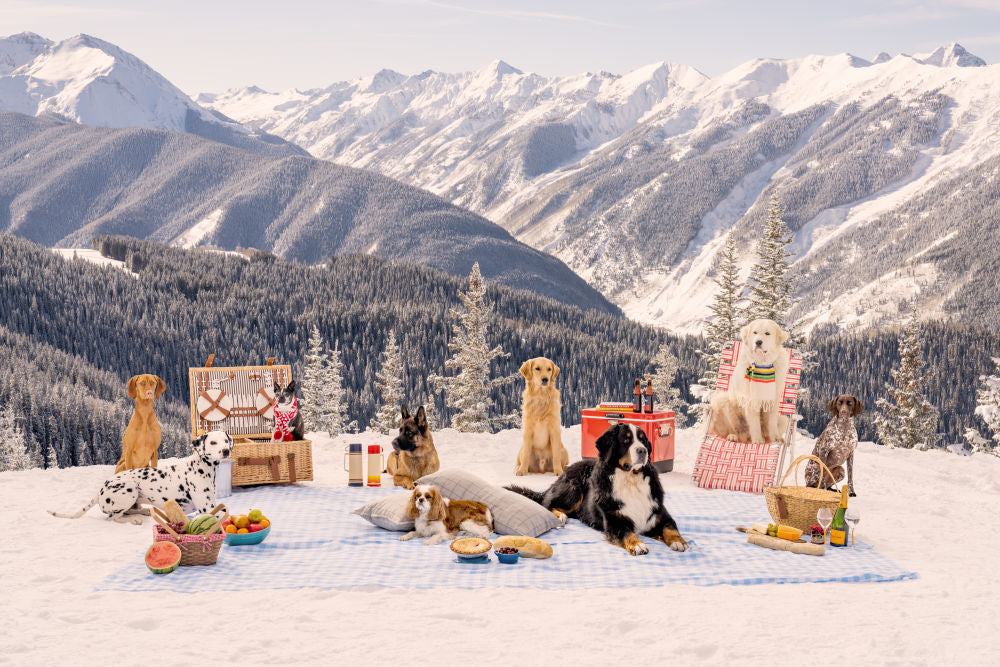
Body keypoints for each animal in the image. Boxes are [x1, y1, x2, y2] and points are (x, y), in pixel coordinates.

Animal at [49, 430, 233, 524]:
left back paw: (143, 511)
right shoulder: (207, 507)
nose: (226, 450)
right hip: (129, 490)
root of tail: (101, 490)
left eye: (225, 440)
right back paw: (134, 519)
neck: (202, 466)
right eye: (213, 442)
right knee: (114, 517)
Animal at [508, 426, 688, 556]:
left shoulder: (659, 513)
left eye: (643, 440)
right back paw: (560, 516)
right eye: (626, 440)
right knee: (547, 503)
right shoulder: (615, 521)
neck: (631, 480)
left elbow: (670, 527)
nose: (643, 450)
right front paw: (637, 545)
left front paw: (679, 541)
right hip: (573, 489)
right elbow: (627, 533)